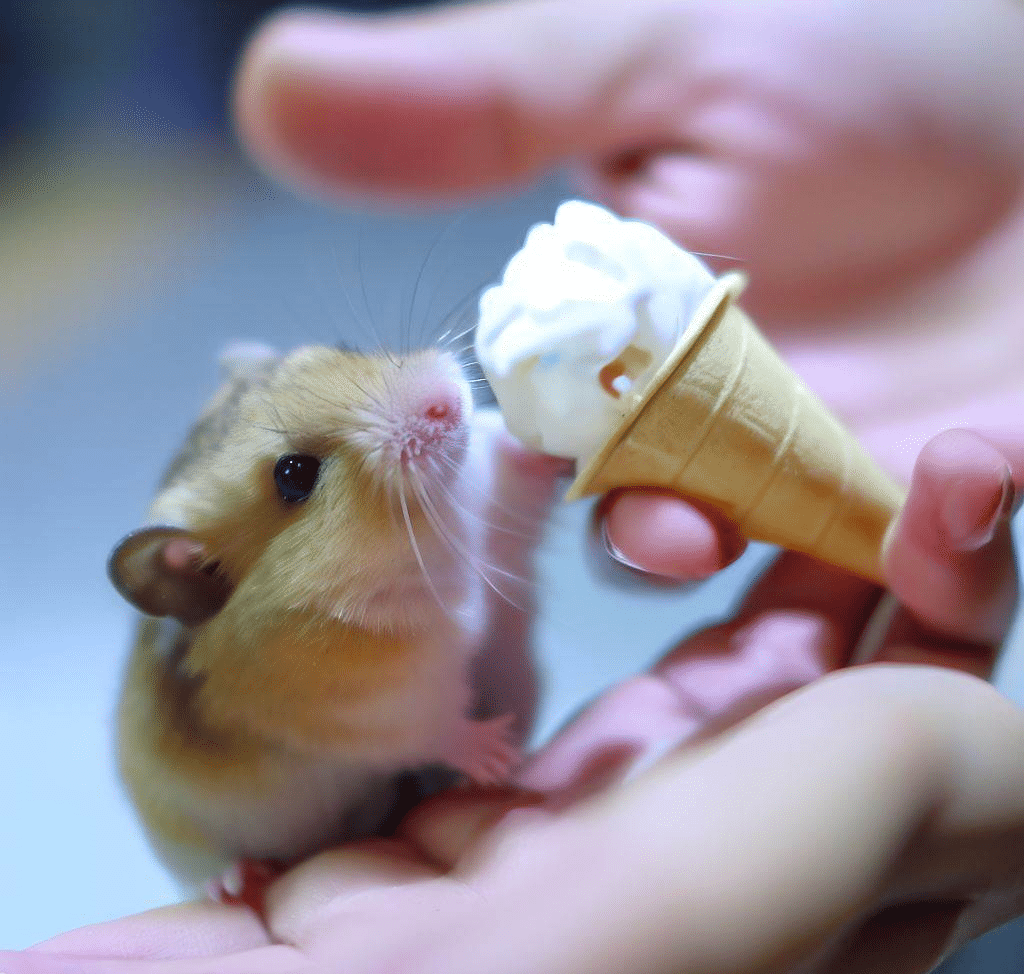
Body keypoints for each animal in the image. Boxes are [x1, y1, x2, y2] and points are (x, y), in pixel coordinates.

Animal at [108, 340, 557, 893]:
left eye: (340, 349)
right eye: (294, 475)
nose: (445, 402)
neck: (426, 533)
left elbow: (505, 467)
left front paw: (545, 443)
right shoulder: (368, 705)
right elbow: (435, 727)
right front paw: (498, 750)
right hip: (179, 838)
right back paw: (237, 881)